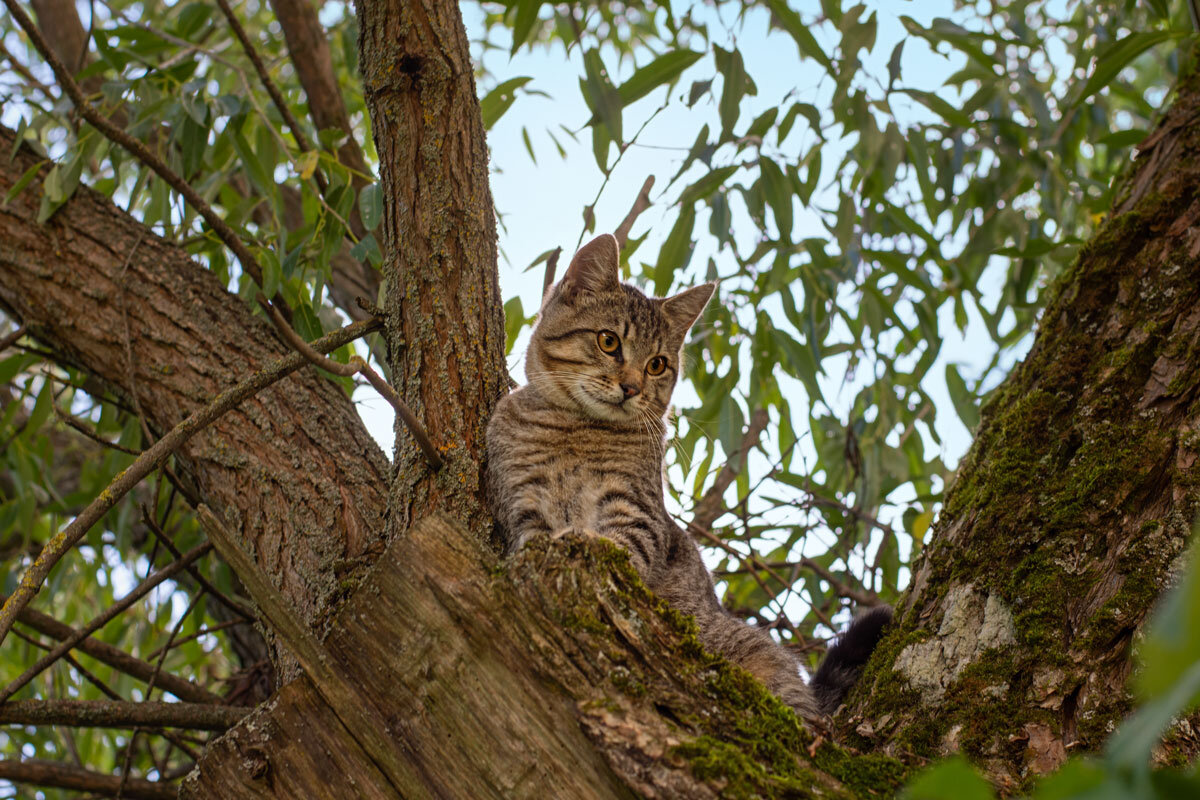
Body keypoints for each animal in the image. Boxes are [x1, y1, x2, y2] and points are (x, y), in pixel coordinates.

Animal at [482, 231, 888, 719]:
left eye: (657, 364)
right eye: (608, 342)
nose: (632, 387)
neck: (574, 429)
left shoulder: (636, 509)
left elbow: (622, 546)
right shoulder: (523, 501)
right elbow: (531, 540)